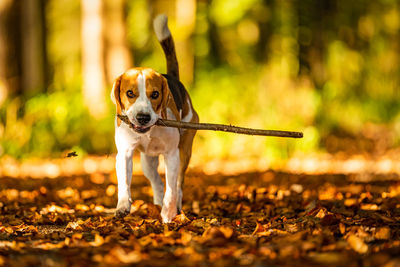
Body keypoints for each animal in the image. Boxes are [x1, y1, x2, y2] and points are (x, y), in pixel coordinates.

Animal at [109, 15, 198, 224]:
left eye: (155, 94)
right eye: (130, 93)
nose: (143, 117)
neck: (149, 131)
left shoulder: (172, 155)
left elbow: (172, 189)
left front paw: (168, 213)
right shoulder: (124, 153)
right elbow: (124, 182)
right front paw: (123, 206)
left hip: (184, 151)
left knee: (178, 184)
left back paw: (173, 208)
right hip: (147, 162)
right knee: (157, 181)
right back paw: (157, 204)